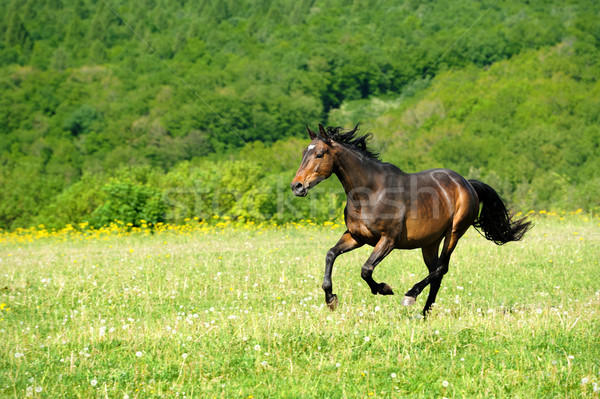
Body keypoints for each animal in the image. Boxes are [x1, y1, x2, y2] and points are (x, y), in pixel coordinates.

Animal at [290, 123, 528, 318]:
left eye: (320, 154)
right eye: (303, 153)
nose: (297, 186)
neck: (370, 193)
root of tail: (466, 183)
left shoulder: (388, 240)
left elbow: (366, 269)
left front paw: (384, 289)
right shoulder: (356, 237)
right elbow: (331, 254)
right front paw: (331, 299)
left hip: (454, 233)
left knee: (441, 268)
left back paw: (411, 296)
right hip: (430, 242)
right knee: (436, 273)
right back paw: (424, 313)